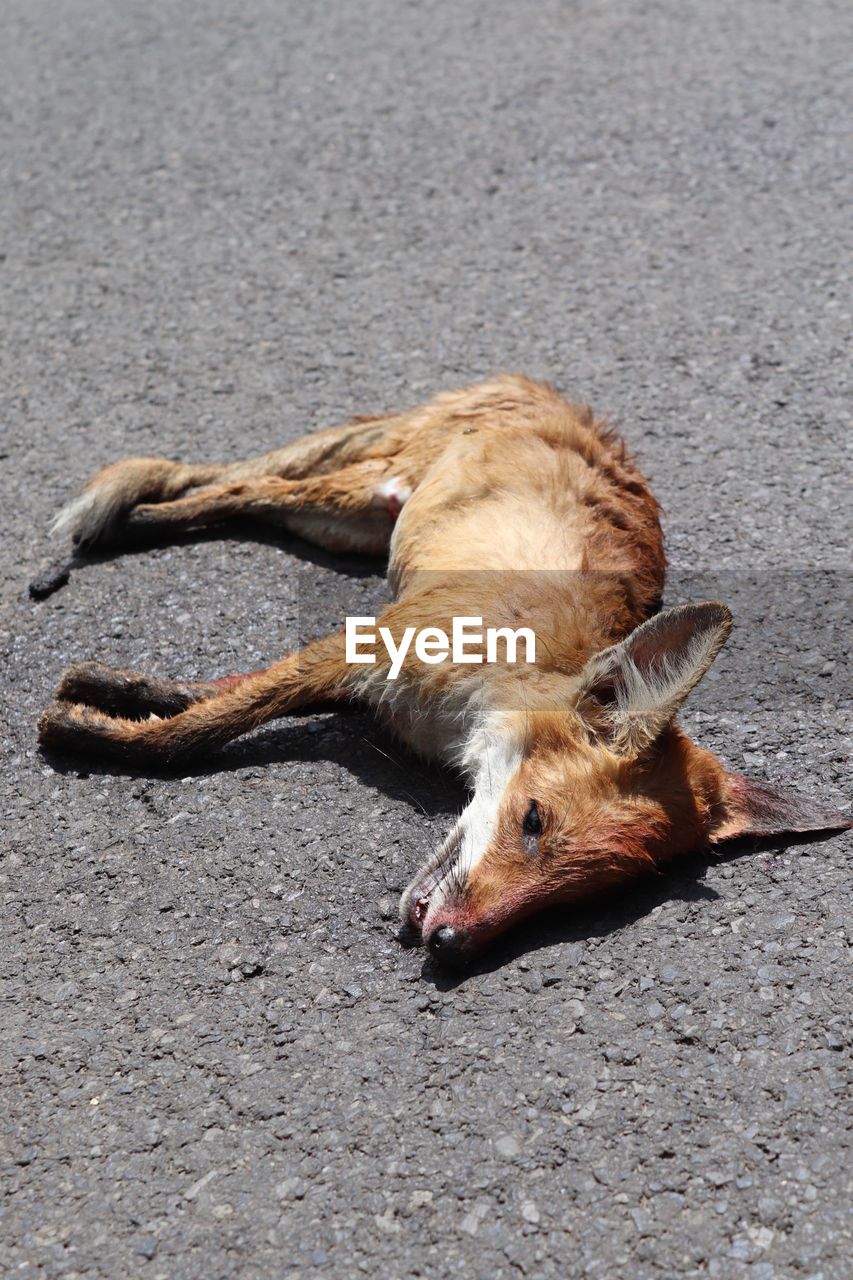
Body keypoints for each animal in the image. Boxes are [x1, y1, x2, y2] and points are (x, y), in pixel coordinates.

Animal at [36, 373, 845, 962]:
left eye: (590, 891)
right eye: (531, 821)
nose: (453, 944)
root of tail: (549, 392)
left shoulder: (355, 676)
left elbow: (208, 697)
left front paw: (118, 691)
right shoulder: (363, 643)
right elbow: (192, 733)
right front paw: (89, 729)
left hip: (346, 523)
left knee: (240, 499)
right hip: (360, 493)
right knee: (233, 488)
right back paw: (123, 525)